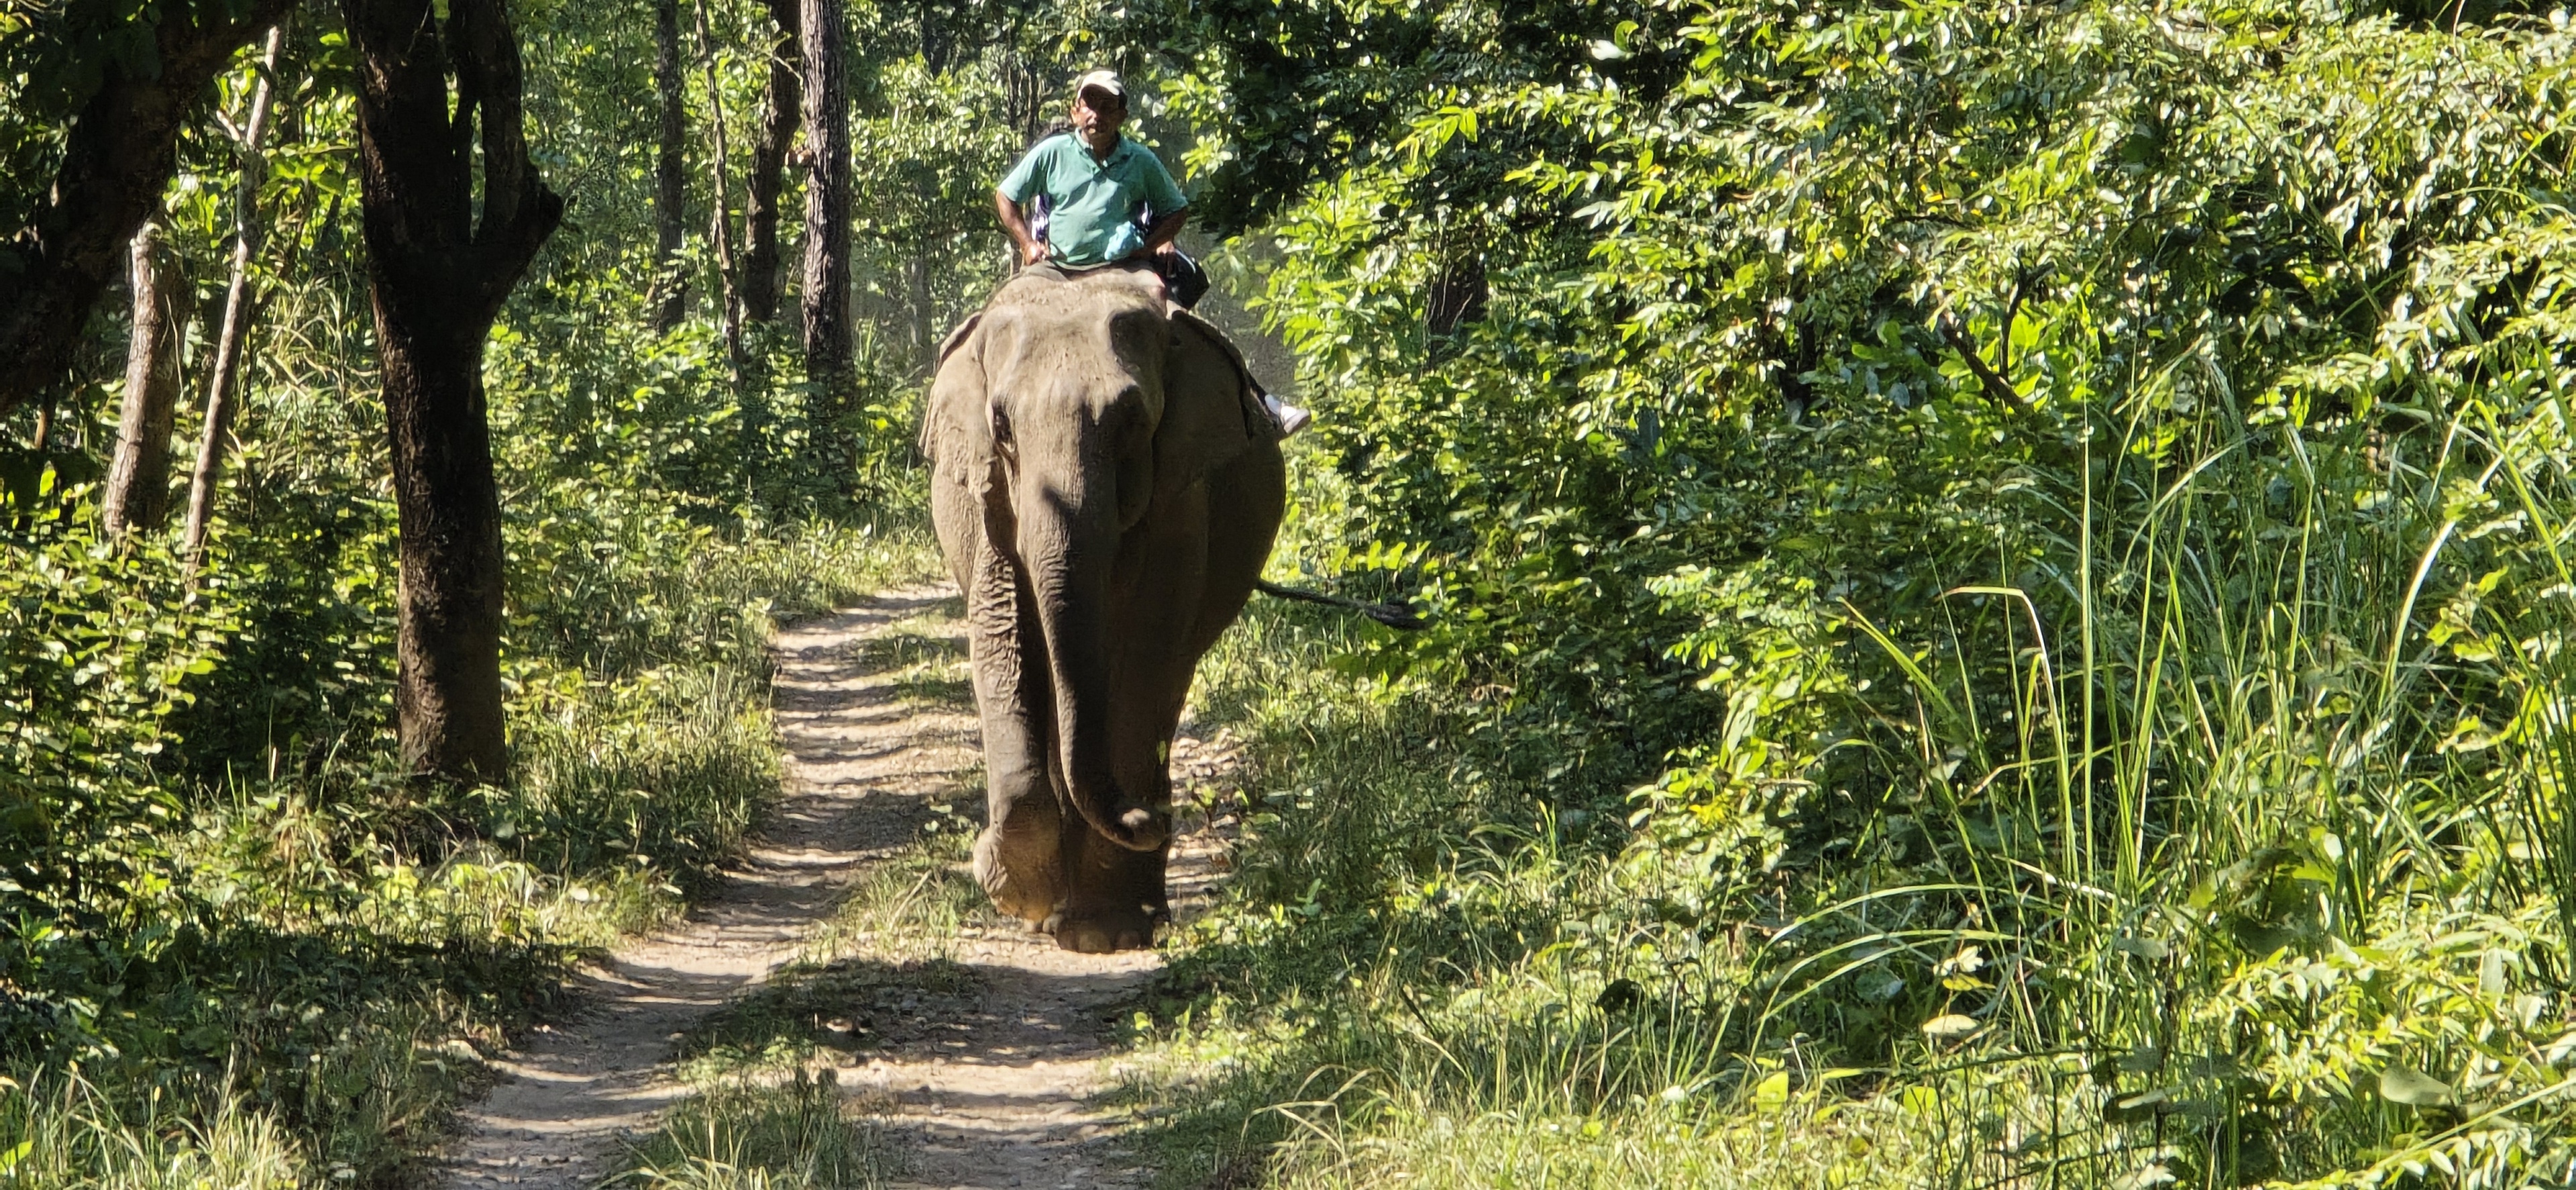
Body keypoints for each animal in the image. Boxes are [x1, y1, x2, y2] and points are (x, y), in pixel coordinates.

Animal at [920, 264, 1285, 953]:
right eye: (1001, 429)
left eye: (1132, 423)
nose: (1150, 821)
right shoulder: (988, 503)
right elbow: (1002, 640)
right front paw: (1009, 886)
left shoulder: (1181, 498)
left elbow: (1147, 656)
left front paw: (1106, 935)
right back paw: (1051, 914)